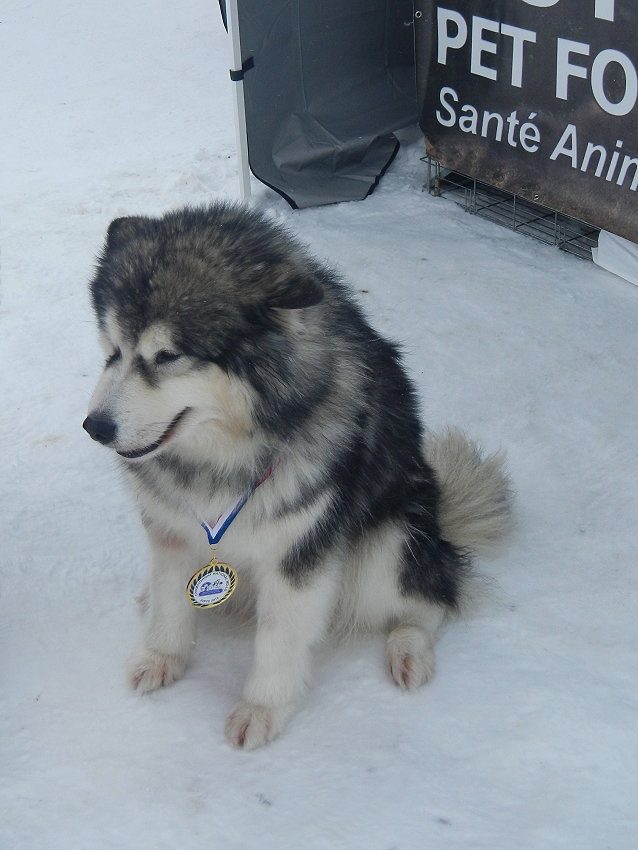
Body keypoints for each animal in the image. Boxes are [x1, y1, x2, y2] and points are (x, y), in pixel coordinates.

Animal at [84, 200, 516, 748]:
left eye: (167, 355)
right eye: (112, 349)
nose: (95, 427)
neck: (226, 452)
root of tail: (441, 524)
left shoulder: (299, 552)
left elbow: (279, 638)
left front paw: (262, 707)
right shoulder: (170, 529)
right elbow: (170, 602)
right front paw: (162, 655)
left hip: (388, 545)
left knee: (433, 598)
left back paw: (409, 649)